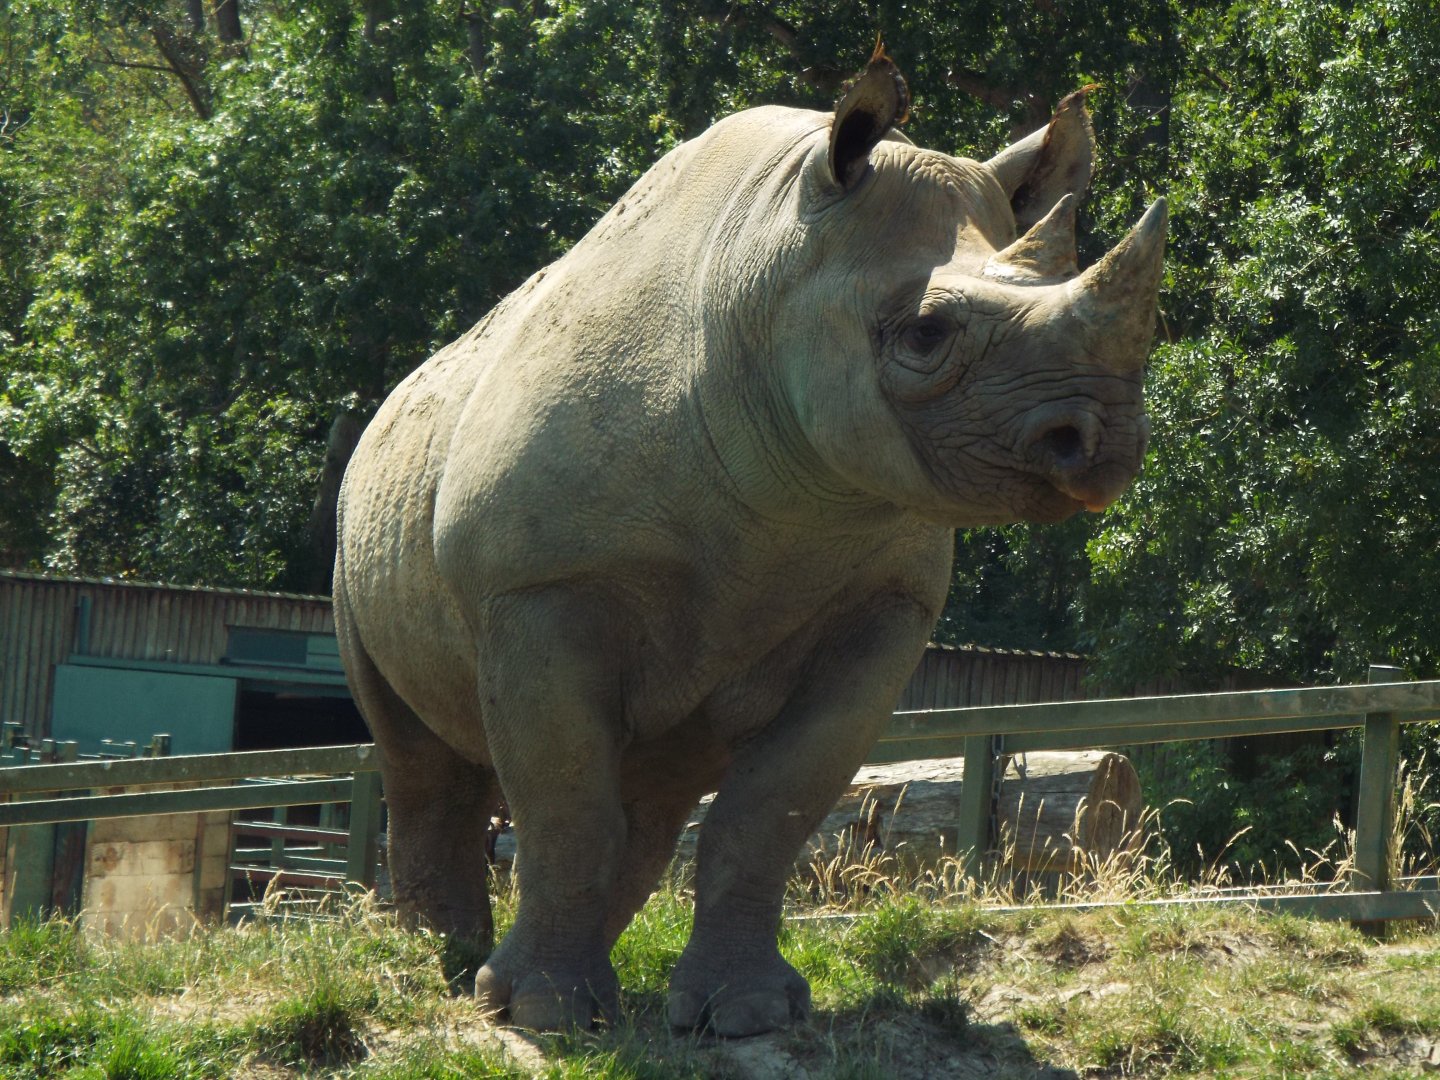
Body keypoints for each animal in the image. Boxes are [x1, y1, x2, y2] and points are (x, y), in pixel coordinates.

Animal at [335, 51, 1165, 1036]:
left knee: (655, 786)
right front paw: (540, 1015)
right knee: (415, 754)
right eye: (926, 334)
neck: (765, 278)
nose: (1103, 439)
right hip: (359, 517)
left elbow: (771, 808)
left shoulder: (883, 607)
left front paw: (747, 1016)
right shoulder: (539, 587)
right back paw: (452, 962)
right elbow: (566, 798)